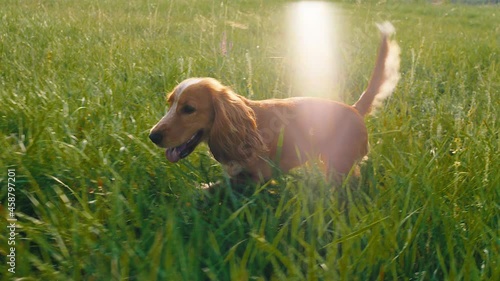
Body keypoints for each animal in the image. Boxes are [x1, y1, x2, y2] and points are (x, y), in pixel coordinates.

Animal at [150, 22, 400, 184]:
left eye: (189, 109)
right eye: (170, 103)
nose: (152, 136)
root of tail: (354, 109)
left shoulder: (257, 178)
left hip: (340, 163)